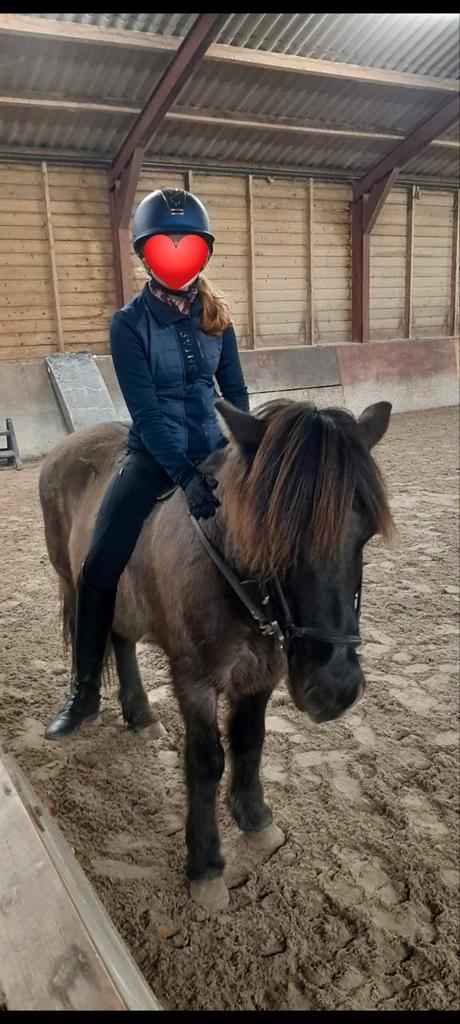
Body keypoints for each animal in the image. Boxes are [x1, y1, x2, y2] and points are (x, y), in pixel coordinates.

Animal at [39, 397, 393, 910]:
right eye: (272, 533)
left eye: (364, 533)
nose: (335, 689)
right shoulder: (196, 680)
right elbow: (206, 761)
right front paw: (205, 865)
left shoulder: (263, 670)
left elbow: (250, 740)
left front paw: (256, 818)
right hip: (75, 577)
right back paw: (78, 709)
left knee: (122, 638)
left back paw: (141, 716)